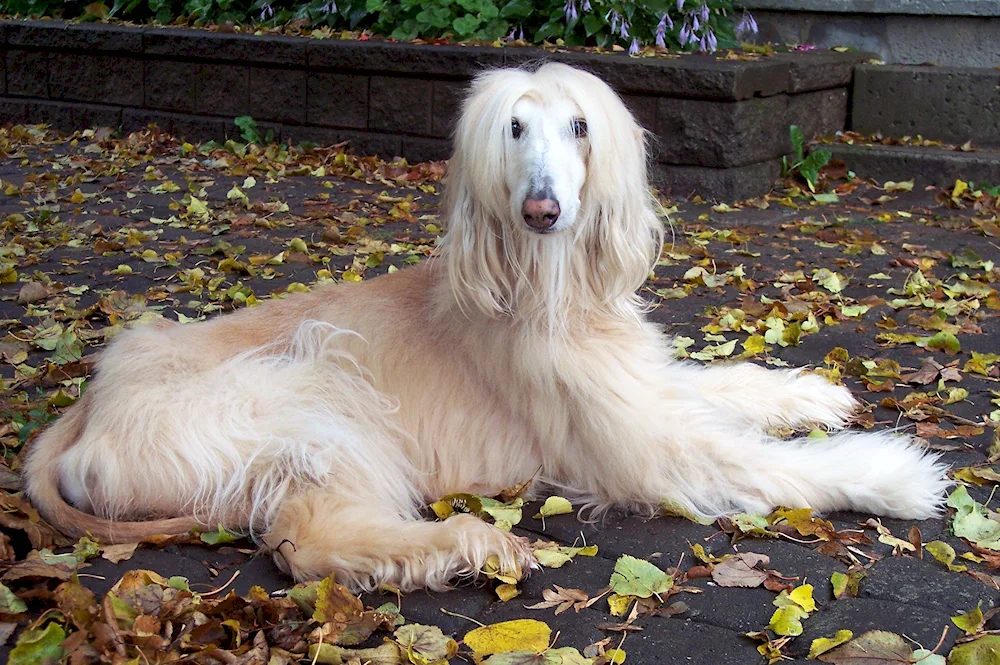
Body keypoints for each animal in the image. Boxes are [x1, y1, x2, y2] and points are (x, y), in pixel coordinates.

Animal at [21, 62, 944, 592]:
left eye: (579, 127)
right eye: (513, 128)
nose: (543, 207)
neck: (551, 288)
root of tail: (85, 405)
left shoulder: (639, 384)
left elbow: (720, 386)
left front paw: (811, 392)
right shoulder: (640, 446)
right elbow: (761, 463)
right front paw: (895, 473)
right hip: (306, 385)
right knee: (303, 538)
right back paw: (467, 542)